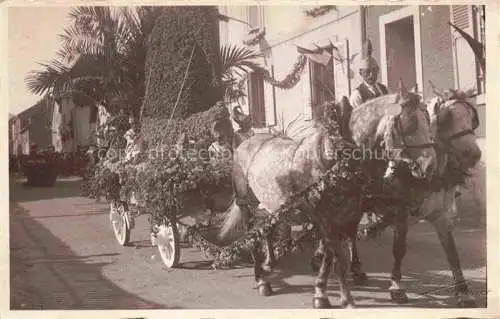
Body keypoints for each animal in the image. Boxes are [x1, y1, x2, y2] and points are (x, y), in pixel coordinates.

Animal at [217, 84, 436, 308]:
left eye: (428, 120)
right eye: (410, 123)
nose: (430, 166)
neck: (337, 155)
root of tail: (246, 142)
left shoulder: (351, 212)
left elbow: (340, 253)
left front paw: (324, 289)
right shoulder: (327, 216)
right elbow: (338, 257)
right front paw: (341, 296)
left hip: (271, 204)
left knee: (266, 228)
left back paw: (270, 263)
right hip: (246, 202)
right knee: (252, 235)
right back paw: (261, 279)